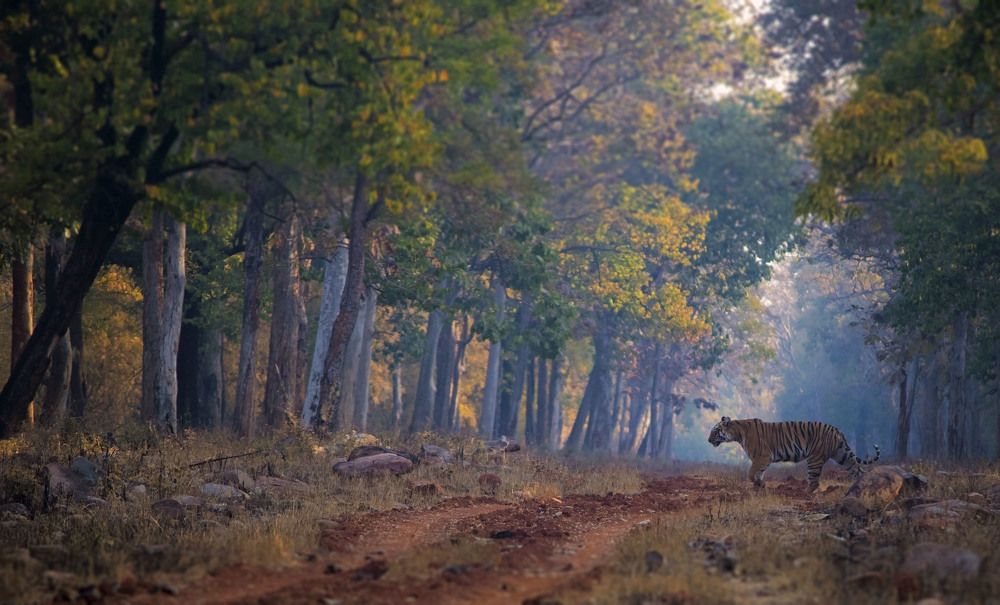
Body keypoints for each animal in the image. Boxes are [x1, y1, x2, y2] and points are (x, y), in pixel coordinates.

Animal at [707, 416, 880, 492]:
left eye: (715, 431)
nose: (708, 440)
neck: (737, 432)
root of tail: (836, 429)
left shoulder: (762, 457)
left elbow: (751, 473)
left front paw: (759, 484)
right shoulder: (762, 460)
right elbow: (758, 474)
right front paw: (759, 486)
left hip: (814, 459)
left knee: (814, 482)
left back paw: (803, 493)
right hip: (842, 454)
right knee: (858, 470)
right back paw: (860, 487)